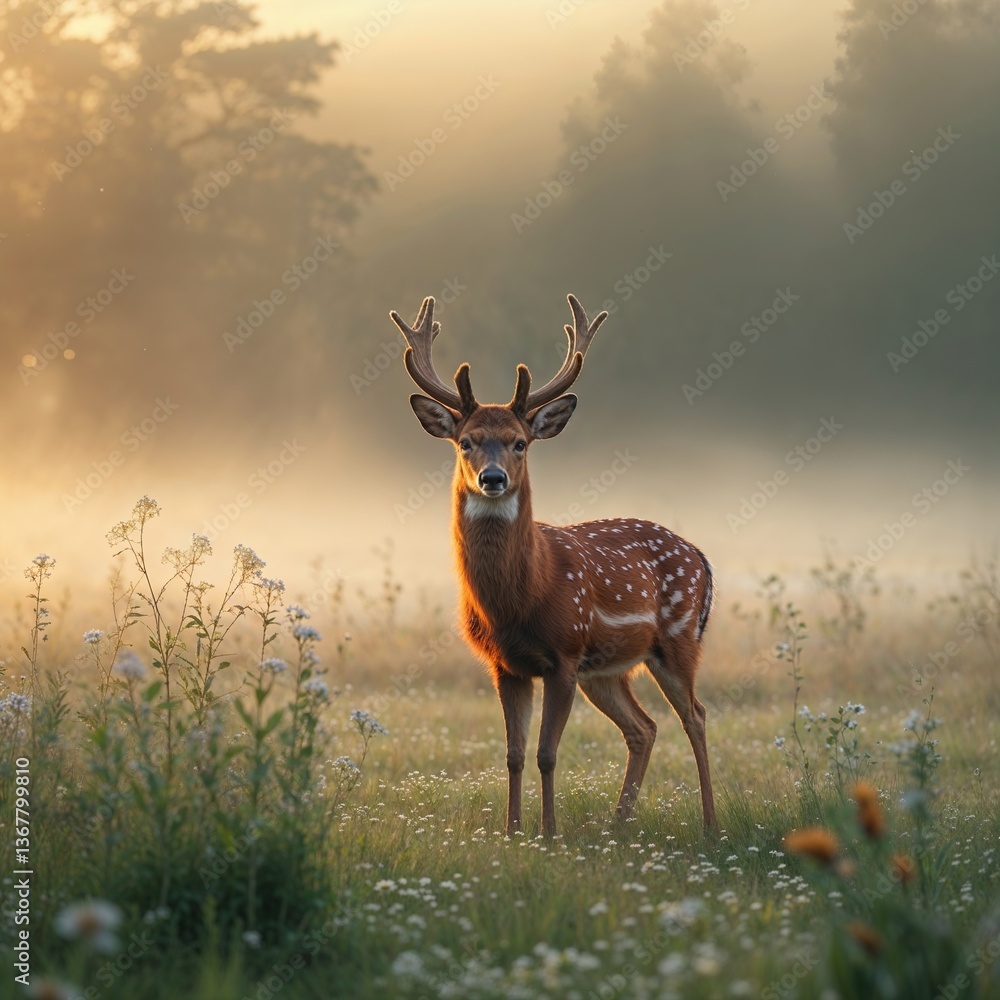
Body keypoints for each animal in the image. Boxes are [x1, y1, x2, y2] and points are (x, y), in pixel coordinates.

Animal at [390, 294, 717, 836]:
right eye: (466, 441)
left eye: (520, 442)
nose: (493, 478)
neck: (520, 598)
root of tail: (700, 557)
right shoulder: (506, 664)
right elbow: (514, 754)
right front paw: (512, 832)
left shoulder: (564, 652)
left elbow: (546, 753)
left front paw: (548, 833)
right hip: (605, 670)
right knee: (644, 727)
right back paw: (617, 825)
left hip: (677, 637)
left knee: (695, 715)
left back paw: (711, 826)